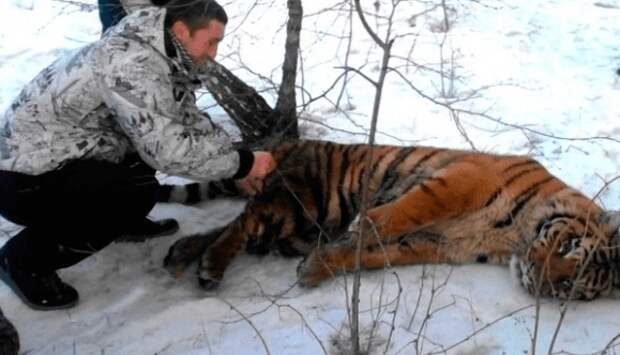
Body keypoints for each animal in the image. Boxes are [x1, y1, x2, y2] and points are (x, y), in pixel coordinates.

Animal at [162, 139, 616, 300]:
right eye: (568, 247)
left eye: (570, 287)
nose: (537, 280)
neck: (514, 239)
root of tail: (289, 143)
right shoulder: (465, 177)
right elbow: (410, 209)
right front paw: (365, 224)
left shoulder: (434, 244)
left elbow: (367, 255)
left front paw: (316, 268)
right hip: (298, 202)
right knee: (242, 223)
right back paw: (208, 265)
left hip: (300, 229)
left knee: (235, 226)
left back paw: (182, 253)